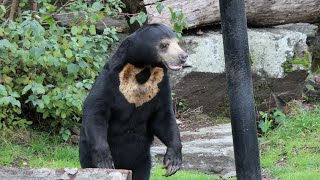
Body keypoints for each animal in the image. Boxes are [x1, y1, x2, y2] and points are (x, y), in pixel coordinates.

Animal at [79, 23, 188, 180]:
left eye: (177, 43)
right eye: (164, 45)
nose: (183, 56)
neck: (143, 70)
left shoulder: (161, 86)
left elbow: (163, 118)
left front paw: (173, 162)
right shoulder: (111, 78)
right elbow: (96, 110)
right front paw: (104, 160)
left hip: (142, 159)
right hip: (86, 153)